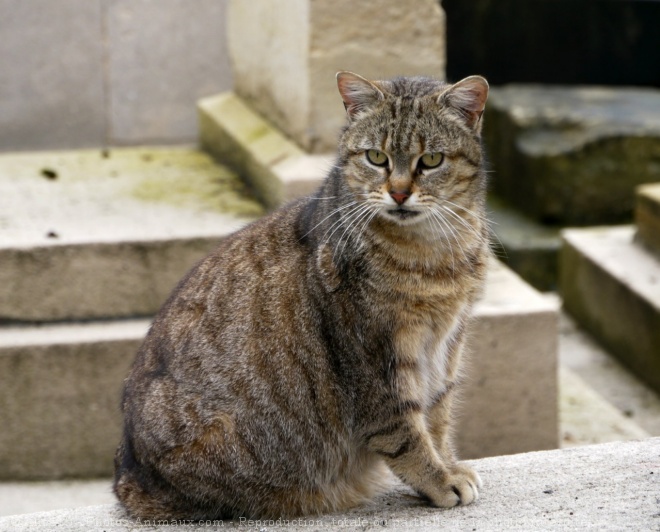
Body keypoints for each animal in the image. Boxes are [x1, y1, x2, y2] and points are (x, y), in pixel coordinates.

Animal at [113, 70, 490, 520]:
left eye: (431, 160)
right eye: (375, 157)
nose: (399, 193)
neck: (432, 253)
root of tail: (128, 478)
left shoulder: (447, 342)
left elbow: (438, 416)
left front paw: (447, 463)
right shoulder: (375, 357)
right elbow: (404, 431)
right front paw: (437, 478)